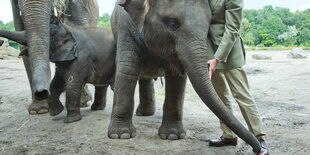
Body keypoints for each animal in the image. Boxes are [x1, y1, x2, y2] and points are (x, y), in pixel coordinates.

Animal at [109, 0, 262, 153]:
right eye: (172, 23)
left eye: (209, 25)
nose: (257, 149)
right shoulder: (125, 24)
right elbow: (128, 68)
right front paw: (121, 135)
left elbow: (176, 76)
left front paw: (172, 136)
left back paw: (145, 113)